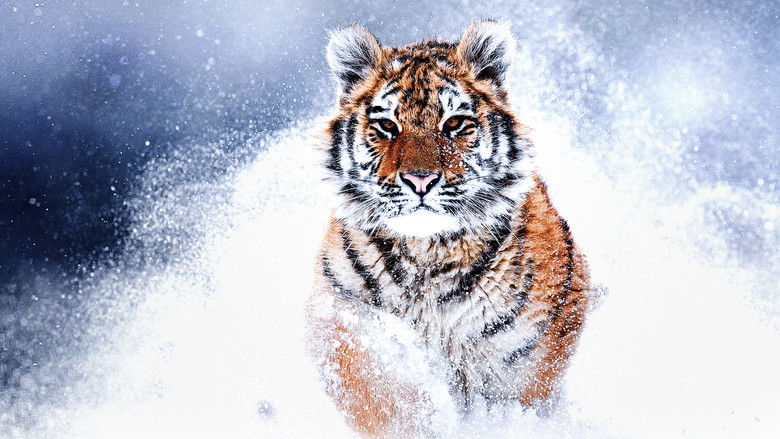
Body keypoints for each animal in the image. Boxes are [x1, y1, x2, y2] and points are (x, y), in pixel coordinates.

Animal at [305, 20, 589, 437]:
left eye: (454, 123)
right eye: (387, 126)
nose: (420, 179)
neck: (427, 252)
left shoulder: (525, 357)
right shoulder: (340, 314)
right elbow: (377, 392)